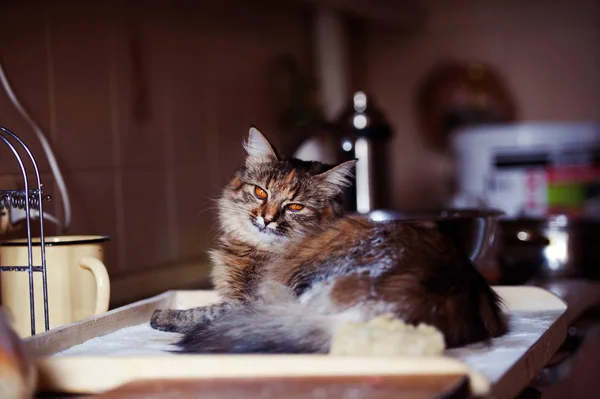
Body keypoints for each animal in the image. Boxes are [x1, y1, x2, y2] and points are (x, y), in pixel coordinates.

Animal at [150, 127, 506, 354]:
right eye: (261, 193)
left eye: (294, 207)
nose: (266, 218)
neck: (258, 247)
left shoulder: (250, 301)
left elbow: (206, 310)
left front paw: (162, 316)